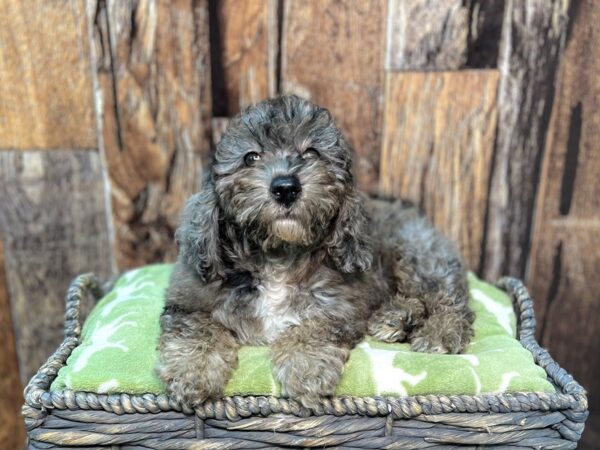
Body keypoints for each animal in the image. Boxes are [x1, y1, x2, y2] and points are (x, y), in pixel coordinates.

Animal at [158, 94, 474, 408]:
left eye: (311, 152)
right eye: (250, 157)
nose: (285, 187)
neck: (278, 256)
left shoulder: (340, 305)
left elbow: (314, 327)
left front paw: (306, 369)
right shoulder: (189, 301)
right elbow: (196, 329)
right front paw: (192, 373)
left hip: (416, 253)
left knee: (449, 300)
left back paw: (439, 332)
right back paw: (396, 317)